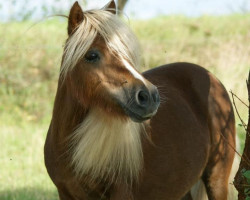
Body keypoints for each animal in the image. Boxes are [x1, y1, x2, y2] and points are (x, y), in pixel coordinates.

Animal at [44, 0, 236, 199]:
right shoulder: (64, 193)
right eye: (91, 55)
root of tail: (211, 78)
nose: (149, 97)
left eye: (126, 52)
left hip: (216, 179)